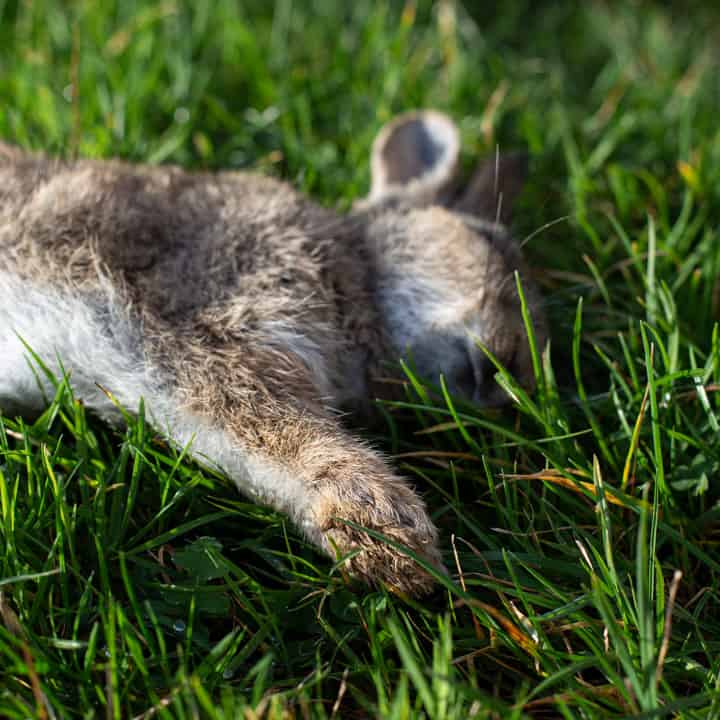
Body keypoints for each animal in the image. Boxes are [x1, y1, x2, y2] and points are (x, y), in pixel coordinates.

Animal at [0, 111, 544, 596]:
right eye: (488, 244)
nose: (512, 376)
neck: (357, 270)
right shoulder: (200, 331)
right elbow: (276, 430)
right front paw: (389, 533)